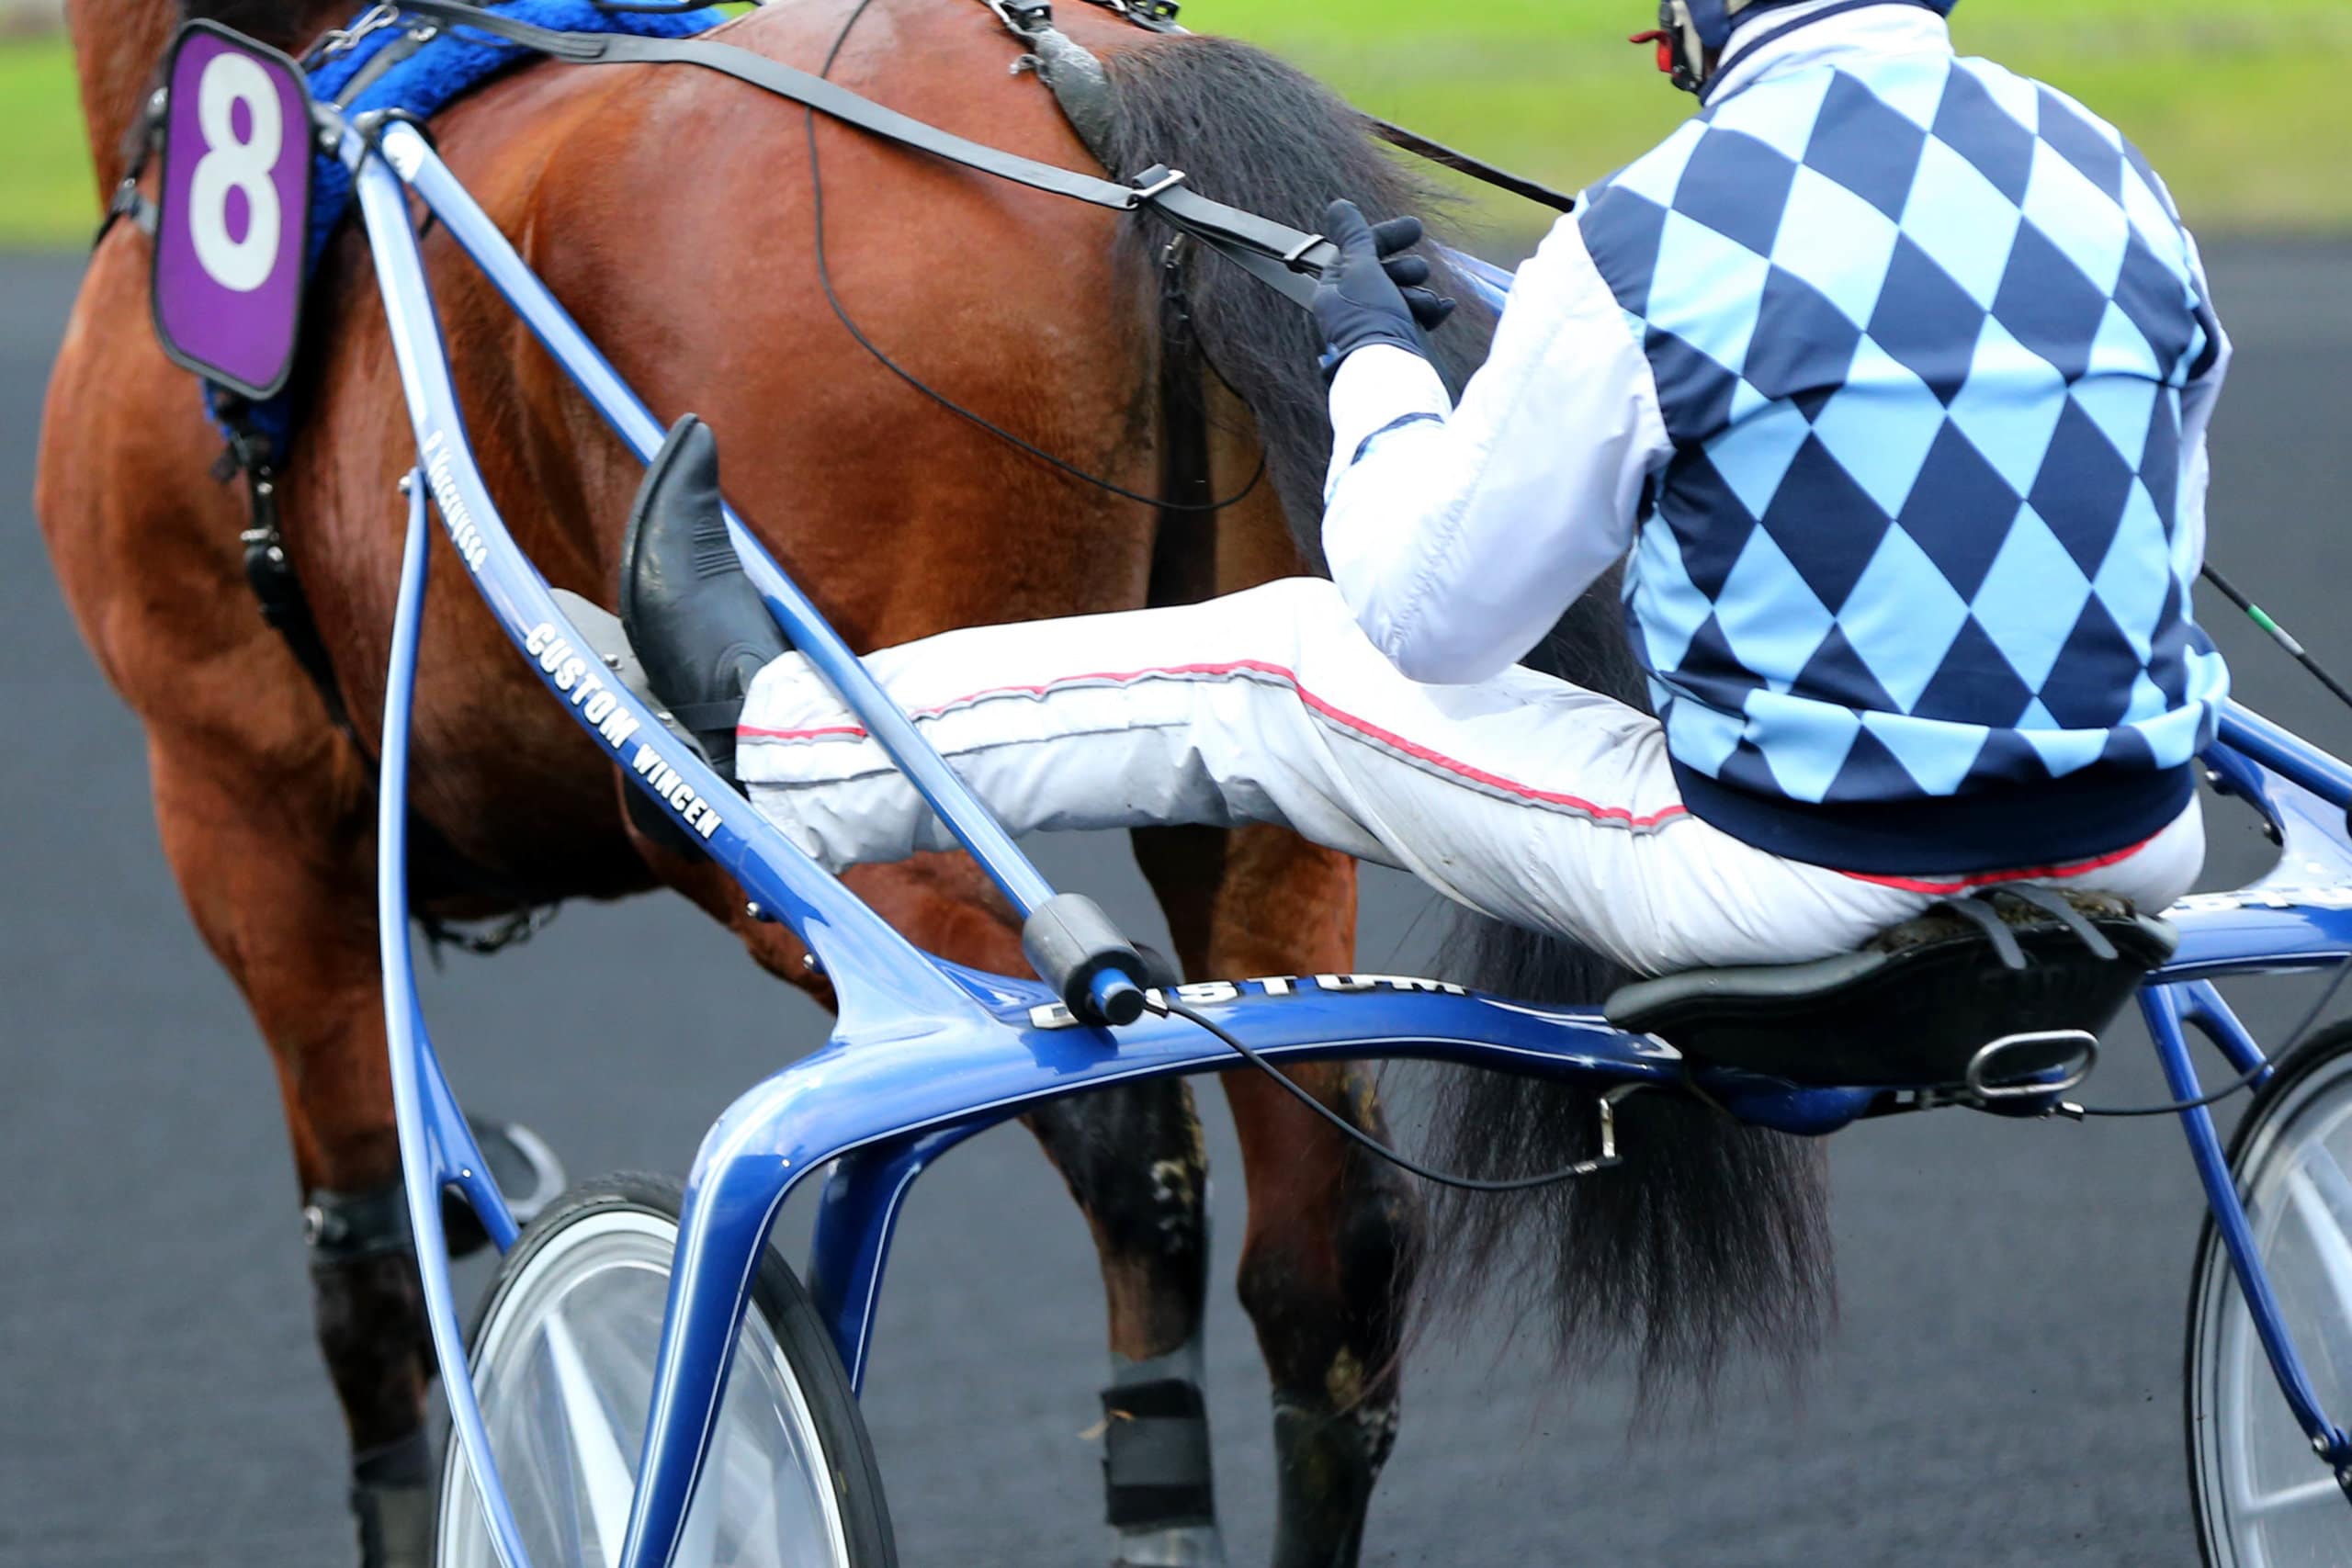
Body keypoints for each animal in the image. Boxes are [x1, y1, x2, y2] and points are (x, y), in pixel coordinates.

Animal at [41, 0, 1834, 1561]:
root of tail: (1090, 99)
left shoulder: (243, 826)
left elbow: (362, 1278)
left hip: (822, 850)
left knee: (1119, 1123)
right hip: (1250, 813)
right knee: (1325, 1247)